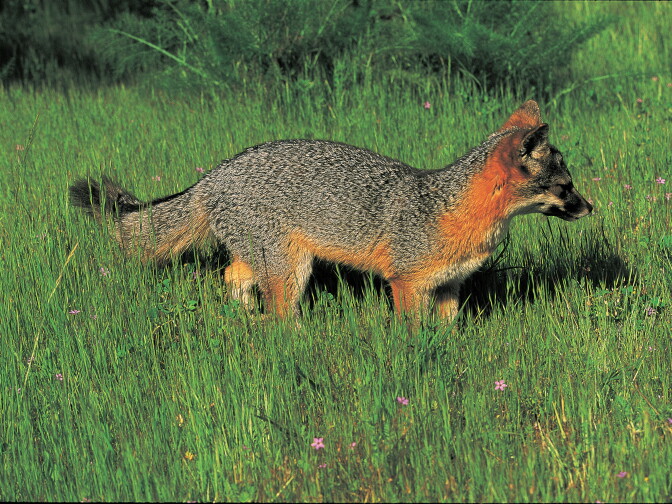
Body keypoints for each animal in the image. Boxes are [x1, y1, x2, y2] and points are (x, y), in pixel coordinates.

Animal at [69, 100, 592, 321]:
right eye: (566, 187)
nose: (591, 206)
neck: (451, 209)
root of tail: (215, 173)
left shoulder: (449, 287)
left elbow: (447, 332)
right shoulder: (406, 284)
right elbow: (413, 332)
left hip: (264, 262)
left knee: (231, 278)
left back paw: (244, 320)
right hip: (290, 271)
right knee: (280, 318)